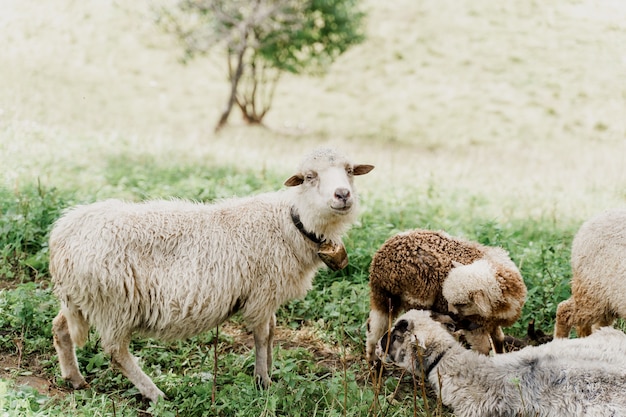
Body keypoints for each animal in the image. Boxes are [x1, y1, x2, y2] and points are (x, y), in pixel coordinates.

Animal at [50, 148, 370, 402]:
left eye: (350, 171)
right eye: (309, 176)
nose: (343, 195)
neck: (289, 223)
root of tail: (63, 234)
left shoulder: (268, 295)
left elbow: (272, 332)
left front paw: (269, 373)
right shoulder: (262, 293)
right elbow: (262, 335)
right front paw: (263, 381)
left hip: (81, 299)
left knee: (60, 327)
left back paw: (74, 378)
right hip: (114, 305)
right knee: (116, 352)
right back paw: (155, 394)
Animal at [364, 228, 524, 360]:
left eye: (463, 303)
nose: (452, 315)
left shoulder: (489, 323)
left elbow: (499, 339)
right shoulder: (476, 328)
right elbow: (483, 349)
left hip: (385, 297)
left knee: (373, 327)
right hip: (413, 299)